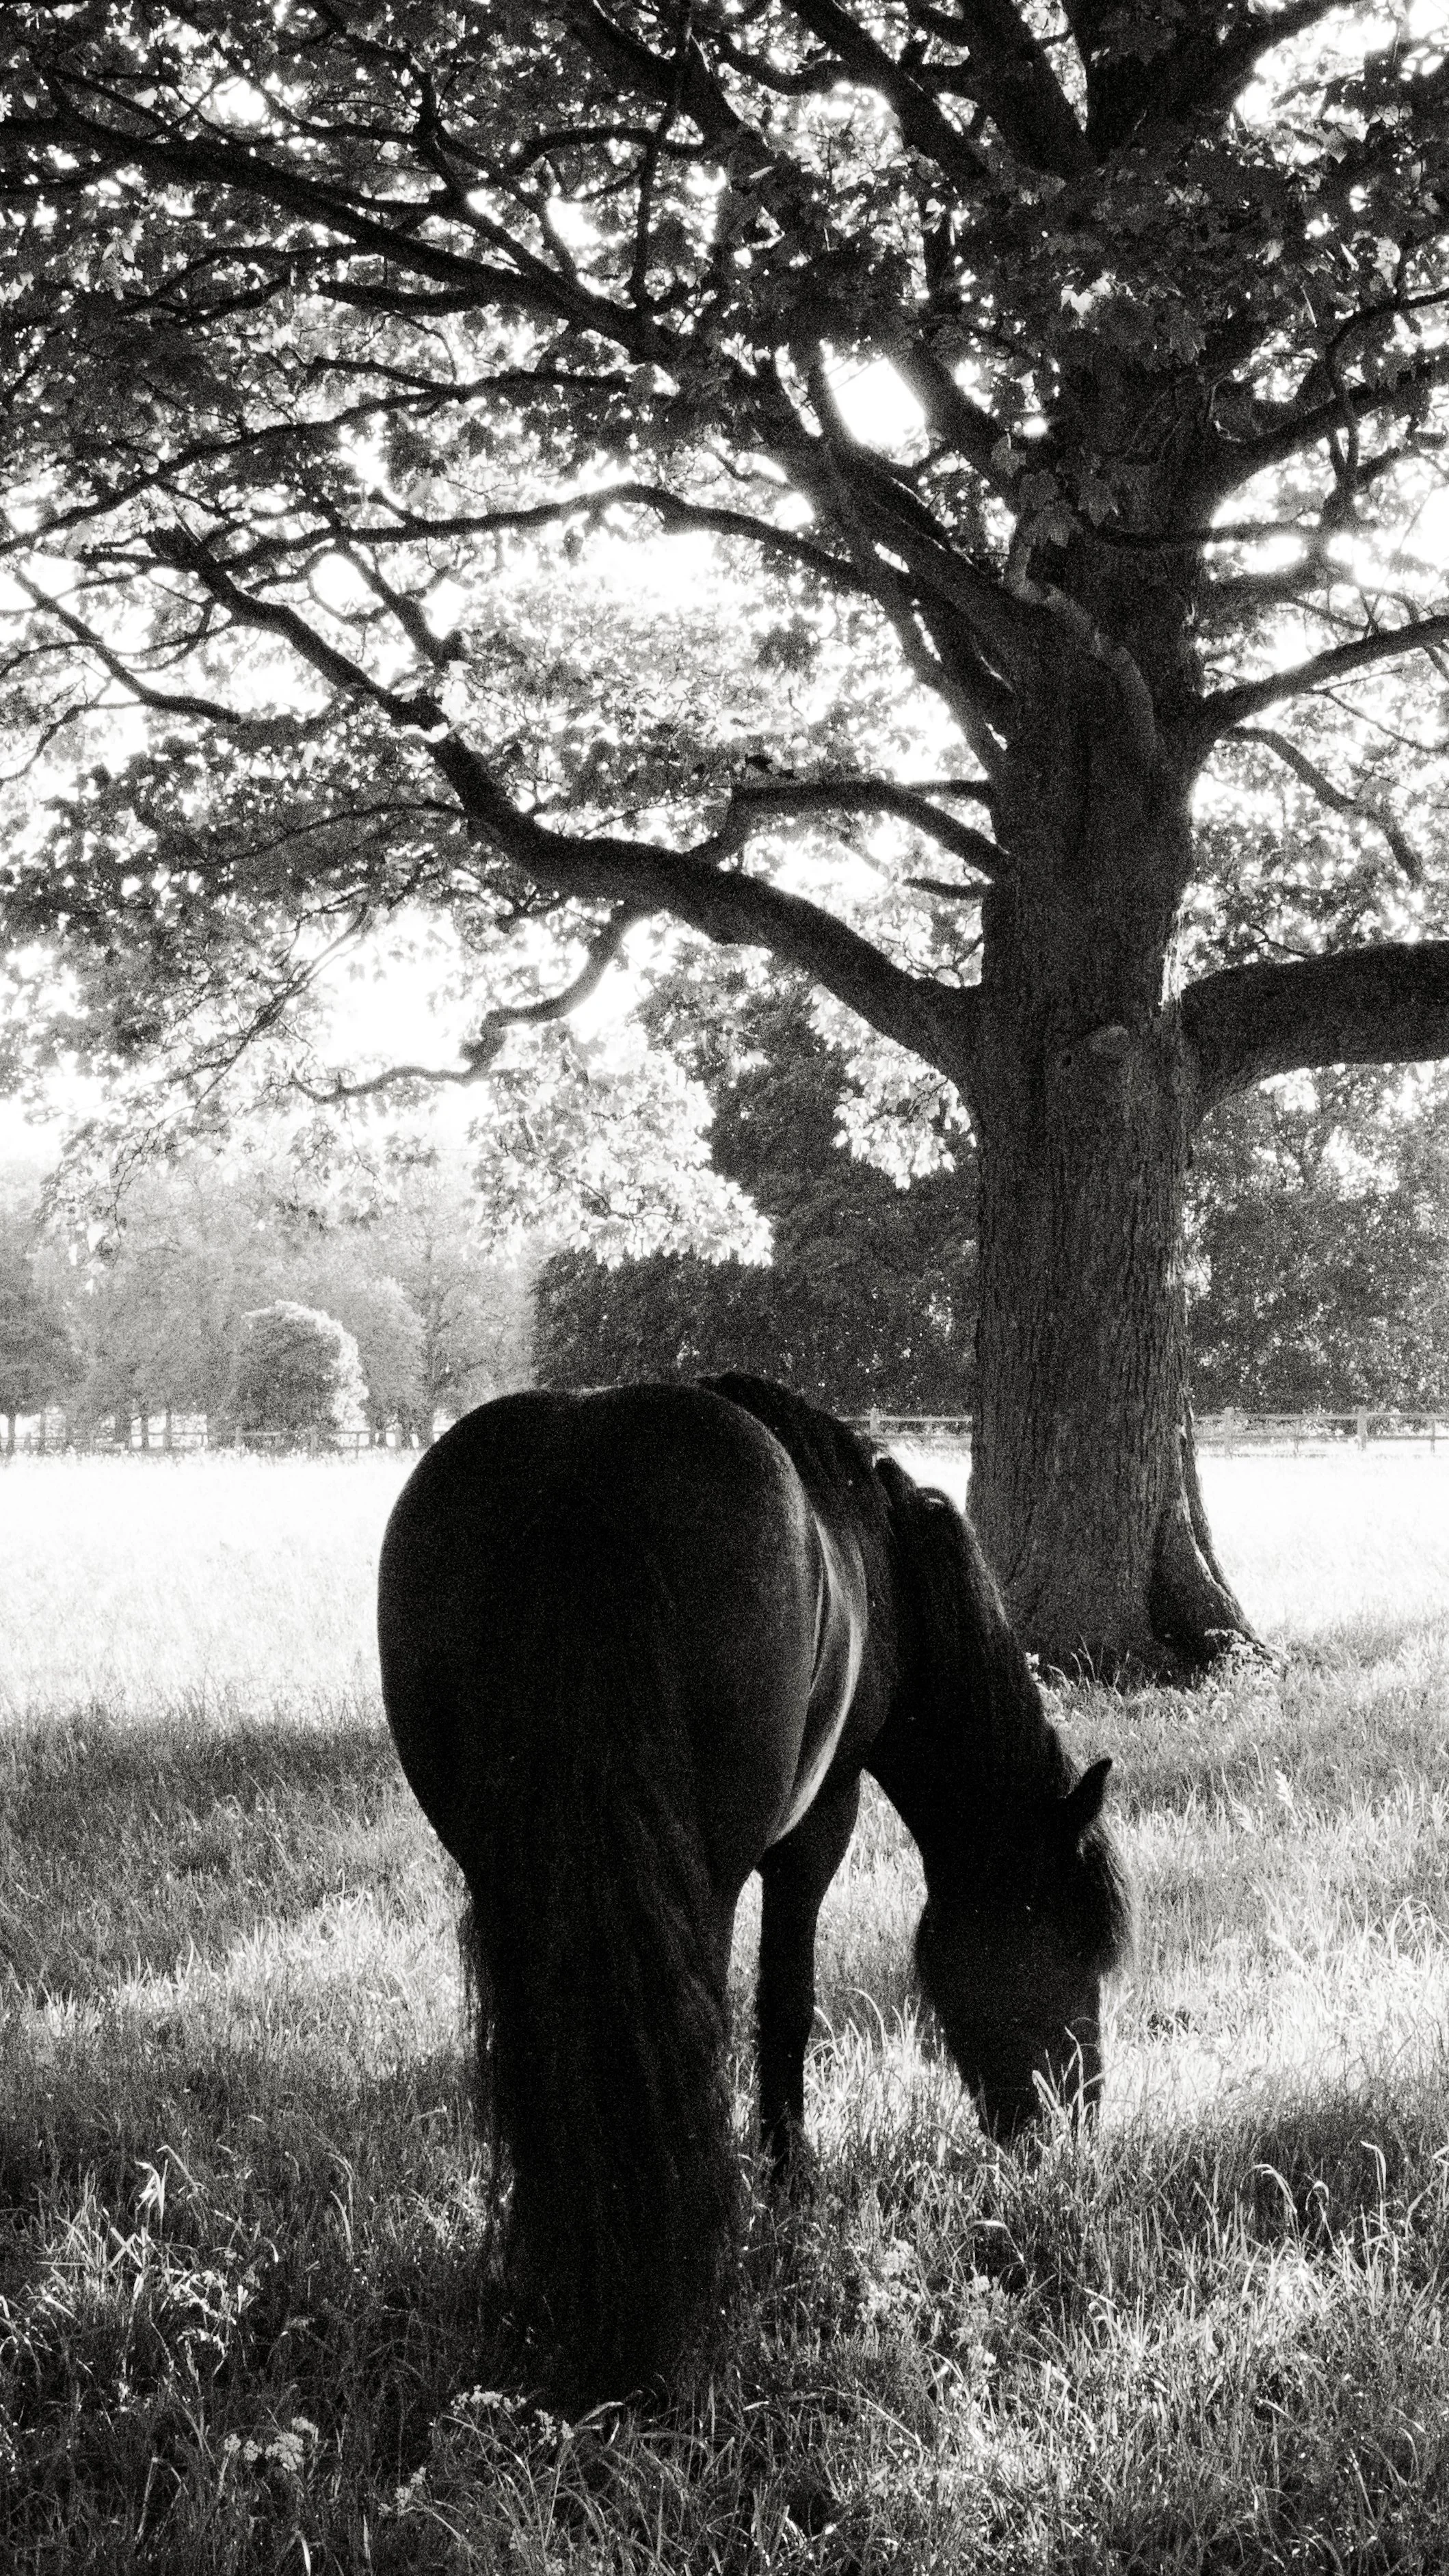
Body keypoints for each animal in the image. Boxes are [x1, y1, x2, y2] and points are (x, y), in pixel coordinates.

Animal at [376, 1373, 1131, 2400]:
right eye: (1067, 1943)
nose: (1072, 2126)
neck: (880, 1557)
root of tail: (585, 1466)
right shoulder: (819, 1824)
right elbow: (785, 2005)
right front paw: (789, 2183)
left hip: (497, 1867)